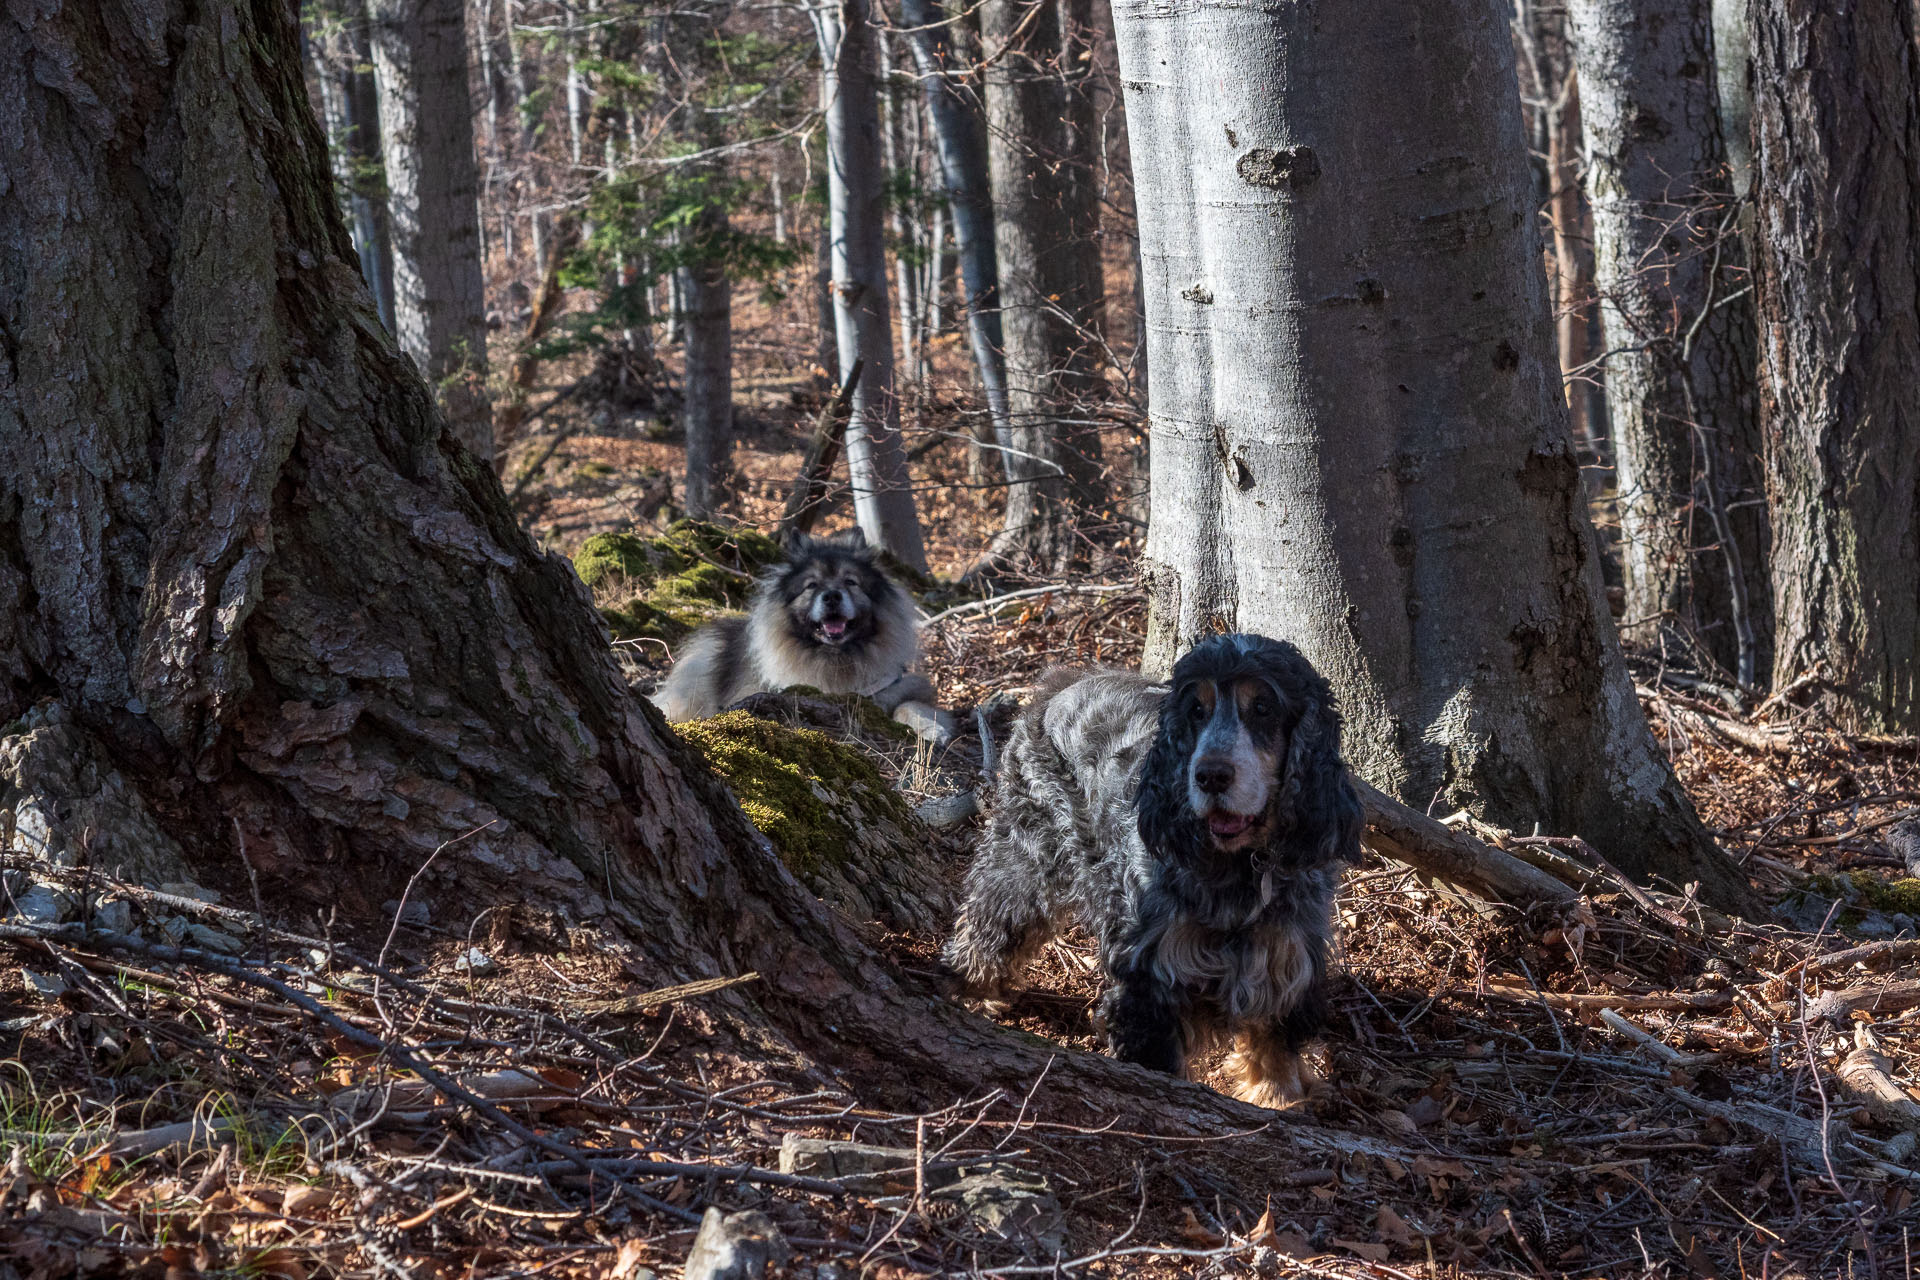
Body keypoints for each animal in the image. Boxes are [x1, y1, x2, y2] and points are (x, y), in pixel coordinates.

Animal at [652, 525, 952, 736]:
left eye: (850, 582)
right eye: (811, 585)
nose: (831, 596)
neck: (837, 659)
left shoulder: (903, 687)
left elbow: (911, 705)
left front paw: (933, 729)